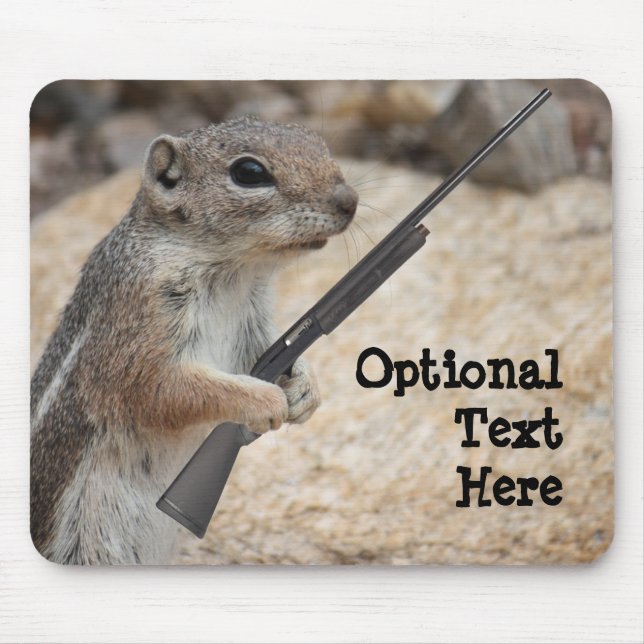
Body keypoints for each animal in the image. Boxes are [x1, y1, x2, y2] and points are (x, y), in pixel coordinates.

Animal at [30, 116, 358, 565]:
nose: (350, 200)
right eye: (249, 172)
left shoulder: (253, 323)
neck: (234, 273)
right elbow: (159, 390)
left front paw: (307, 390)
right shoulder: (137, 322)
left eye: (319, 143)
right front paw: (267, 401)